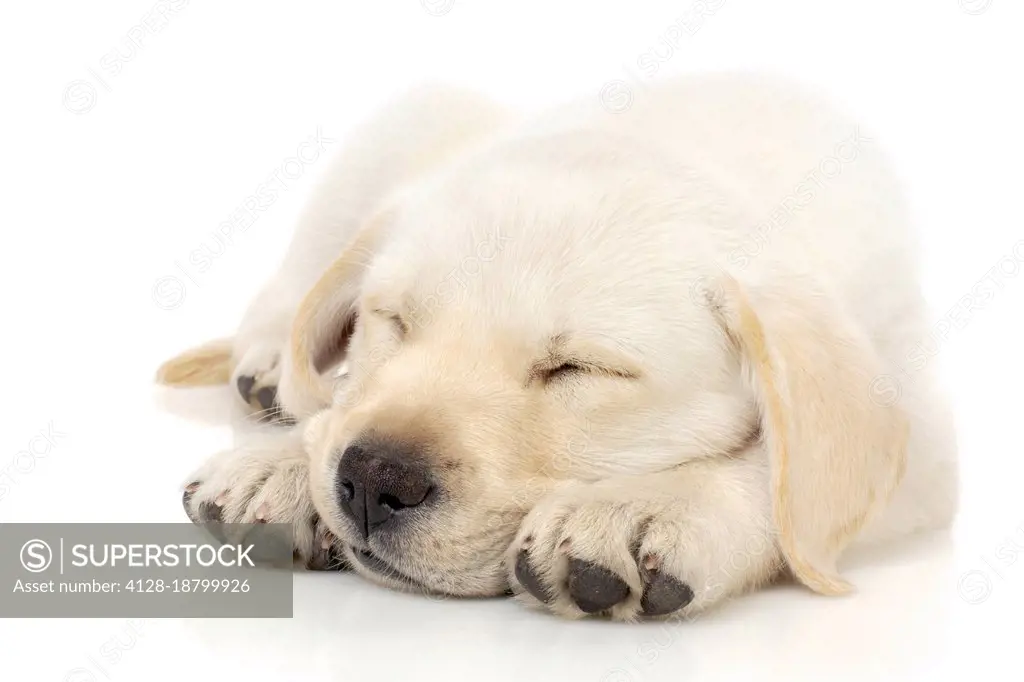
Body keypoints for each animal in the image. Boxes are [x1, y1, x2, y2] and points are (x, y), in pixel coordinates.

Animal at [155, 76, 954, 618]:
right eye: (393, 320)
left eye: (578, 369)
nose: (375, 480)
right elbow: (342, 405)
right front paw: (283, 465)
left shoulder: (921, 428)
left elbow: (788, 475)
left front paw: (647, 506)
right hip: (406, 119)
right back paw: (267, 367)